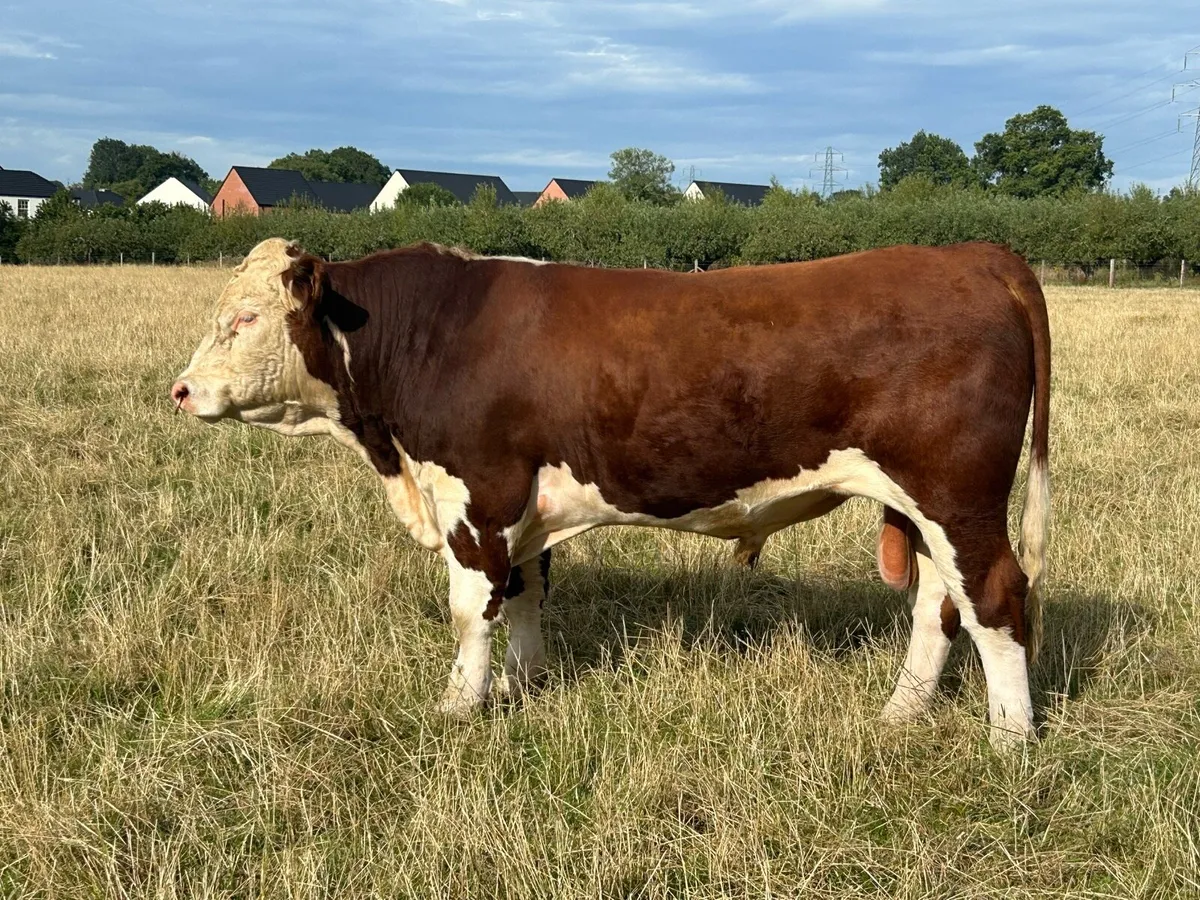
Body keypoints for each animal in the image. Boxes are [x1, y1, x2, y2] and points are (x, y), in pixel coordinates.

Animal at [172, 238, 1050, 748]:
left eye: (244, 318)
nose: (180, 390)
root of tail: (976, 254)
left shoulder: (478, 494)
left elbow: (470, 610)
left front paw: (458, 708)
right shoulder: (522, 508)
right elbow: (524, 594)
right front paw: (522, 685)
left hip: (958, 496)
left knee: (997, 599)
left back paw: (1009, 742)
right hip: (924, 507)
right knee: (939, 603)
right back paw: (902, 714)